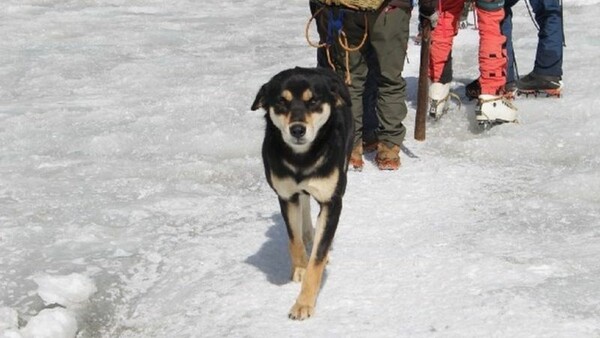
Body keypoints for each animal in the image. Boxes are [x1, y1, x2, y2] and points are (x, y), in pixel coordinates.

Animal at [251, 66, 354, 320]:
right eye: (282, 101)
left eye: (313, 101)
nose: (297, 129)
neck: (302, 159)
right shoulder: (286, 196)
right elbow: (294, 239)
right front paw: (299, 268)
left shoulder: (332, 202)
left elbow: (318, 257)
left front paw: (304, 303)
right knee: (305, 205)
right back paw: (308, 232)